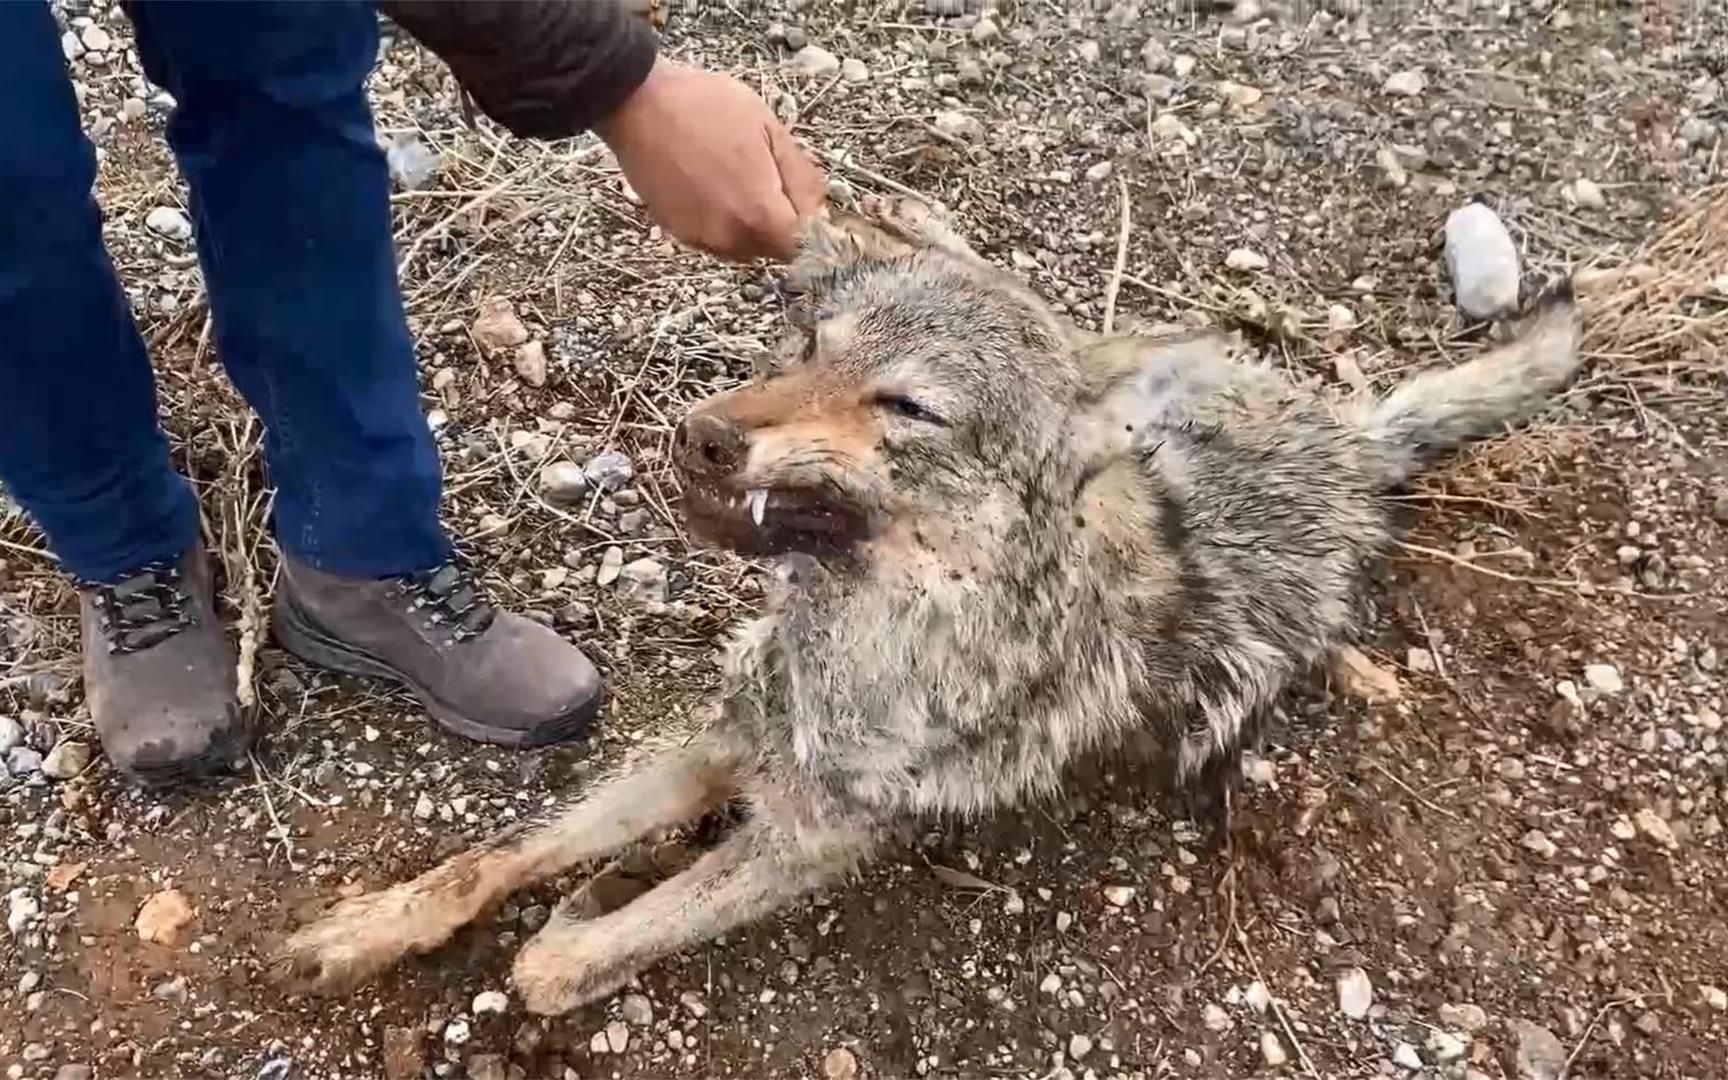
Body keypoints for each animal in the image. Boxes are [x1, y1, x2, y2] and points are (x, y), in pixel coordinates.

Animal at [273, 193, 1582, 1009]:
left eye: (906, 407)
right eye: (811, 343)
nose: (700, 436)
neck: (859, 638)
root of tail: (1347, 439)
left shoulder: (810, 836)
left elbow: (559, 966)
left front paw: (584, 925)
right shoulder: (722, 737)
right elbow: (496, 857)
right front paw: (372, 925)